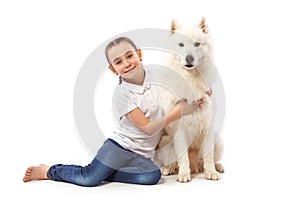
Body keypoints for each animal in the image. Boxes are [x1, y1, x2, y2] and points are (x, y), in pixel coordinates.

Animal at [154, 17, 224, 183]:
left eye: (197, 44)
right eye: (181, 44)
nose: (189, 58)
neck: (191, 79)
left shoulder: (208, 126)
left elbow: (208, 155)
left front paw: (211, 172)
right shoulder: (180, 130)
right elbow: (183, 157)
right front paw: (184, 175)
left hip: (218, 140)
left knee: (205, 159)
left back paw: (215, 167)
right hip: (165, 141)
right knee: (174, 161)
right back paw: (169, 169)